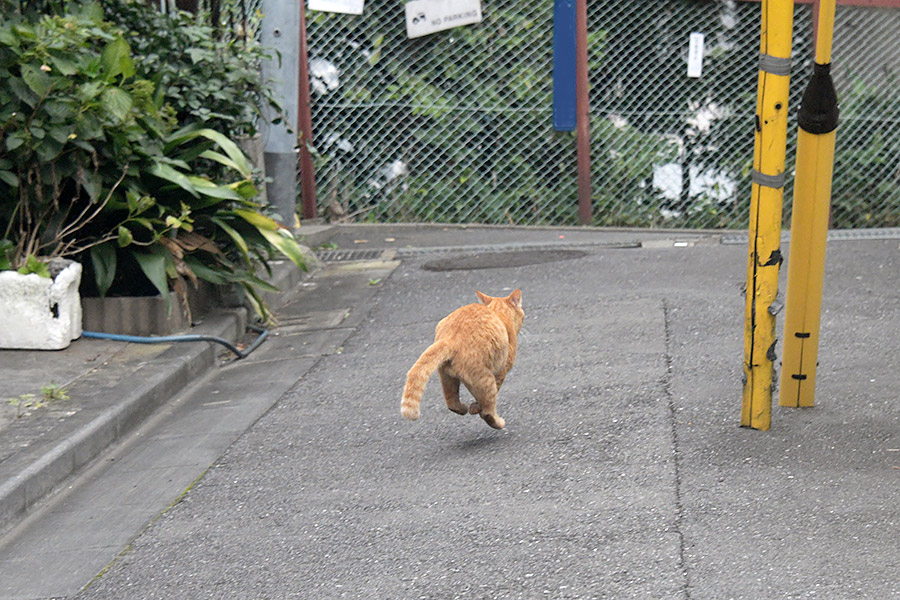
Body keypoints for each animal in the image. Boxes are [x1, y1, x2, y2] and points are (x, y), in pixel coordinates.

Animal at [400, 290, 520, 426]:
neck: (497, 311)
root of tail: (451, 338)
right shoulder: (501, 370)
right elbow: (486, 398)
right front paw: (477, 407)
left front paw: (473, 407)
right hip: (484, 378)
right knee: (488, 411)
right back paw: (498, 422)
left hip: (446, 376)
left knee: (451, 401)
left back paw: (462, 408)